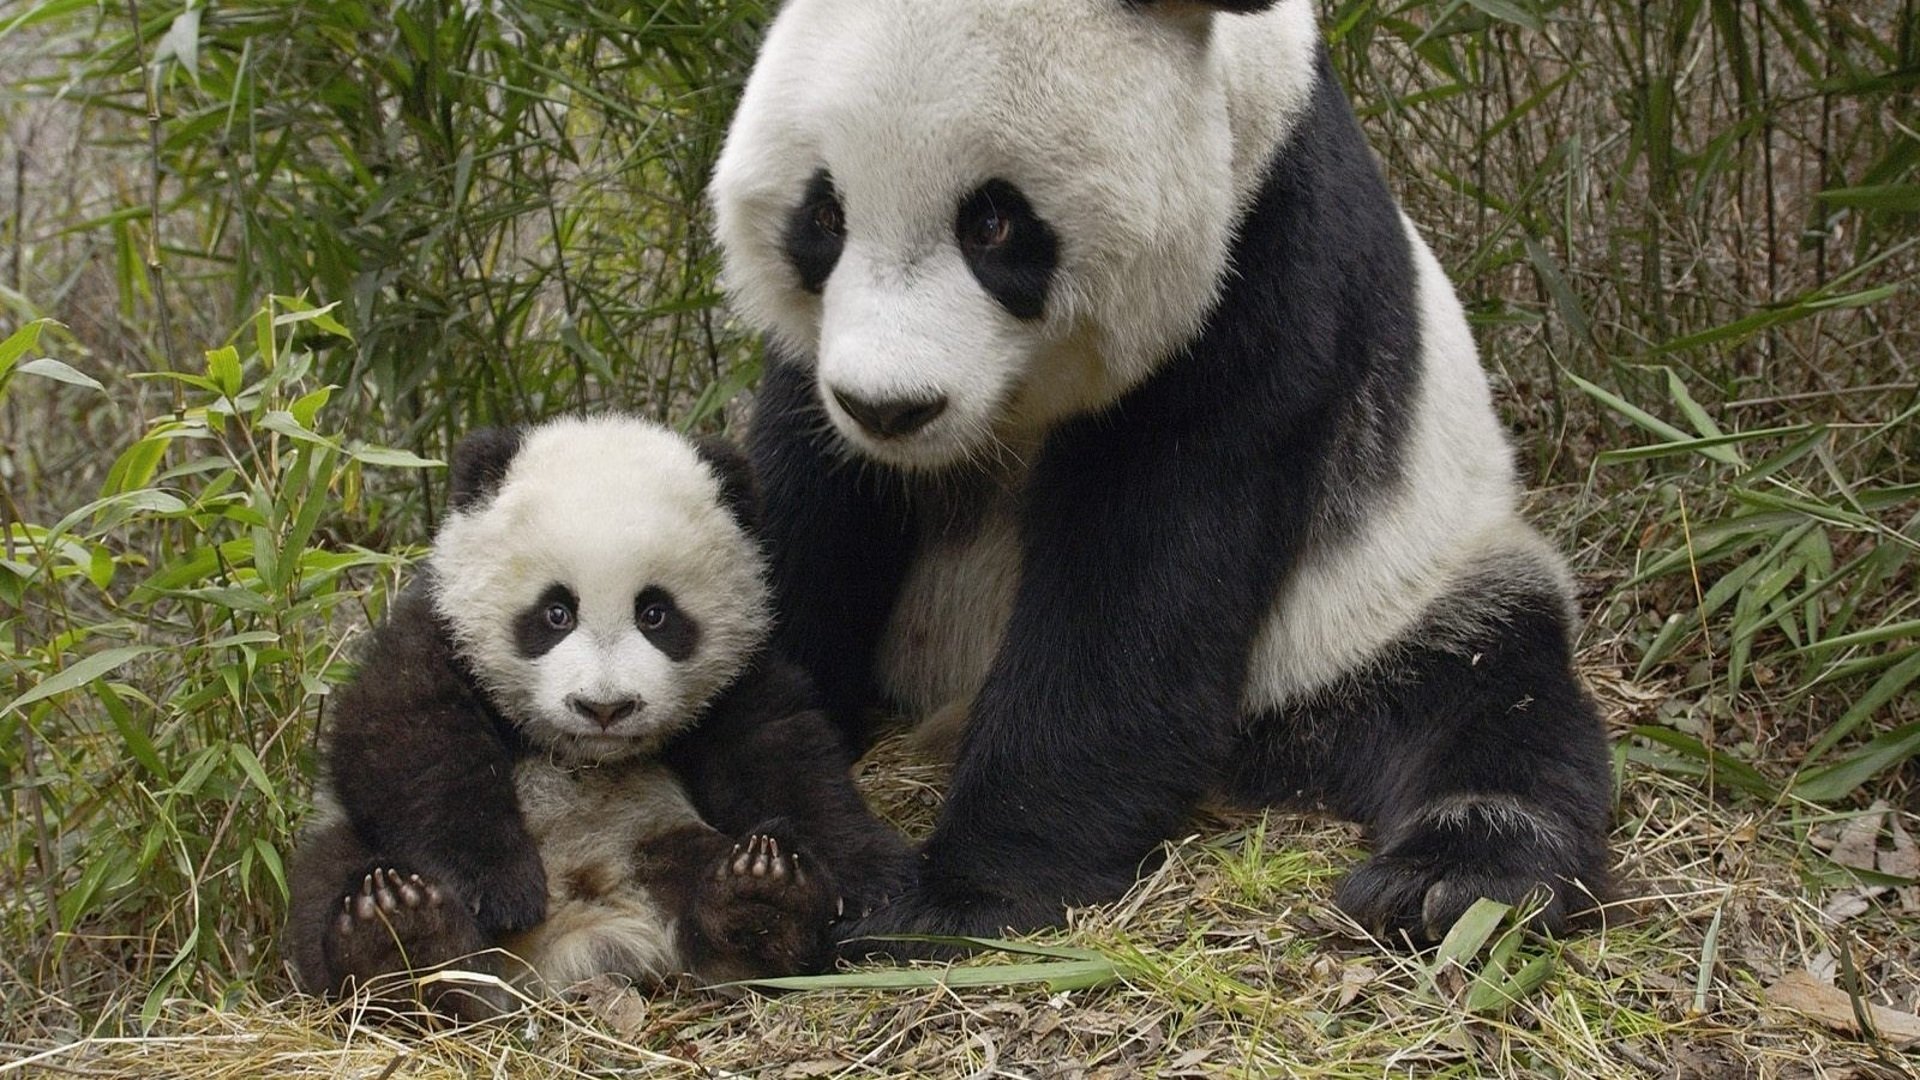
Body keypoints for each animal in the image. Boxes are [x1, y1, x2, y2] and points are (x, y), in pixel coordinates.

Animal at [285, 415, 912, 1019]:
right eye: (555, 612)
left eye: (656, 613)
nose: (605, 707)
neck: (583, 755)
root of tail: (575, 942)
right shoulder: (437, 630)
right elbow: (406, 738)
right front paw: (499, 887)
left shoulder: (739, 674)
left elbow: (782, 754)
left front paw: (873, 877)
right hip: (350, 850)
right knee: (329, 879)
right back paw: (399, 942)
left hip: (655, 837)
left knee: (708, 875)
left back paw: (761, 901)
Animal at [708, 0, 1613, 951]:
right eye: (824, 217)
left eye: (993, 223)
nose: (888, 408)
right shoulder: (815, 379)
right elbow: (804, 510)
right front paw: (781, 834)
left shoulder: (1264, 261)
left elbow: (1144, 578)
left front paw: (960, 897)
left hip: (1393, 594)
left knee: (1488, 696)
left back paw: (1449, 881)